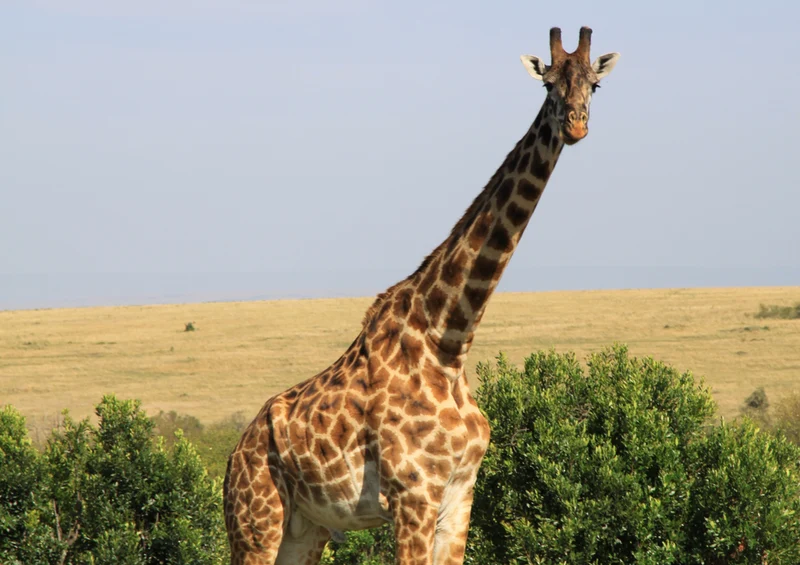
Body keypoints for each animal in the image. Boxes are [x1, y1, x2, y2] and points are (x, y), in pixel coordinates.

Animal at [224, 27, 619, 565]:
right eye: (548, 85)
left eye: (593, 85)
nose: (576, 126)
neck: (449, 342)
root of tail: (232, 457)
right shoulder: (412, 495)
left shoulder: (460, 494)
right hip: (255, 523)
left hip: (305, 530)